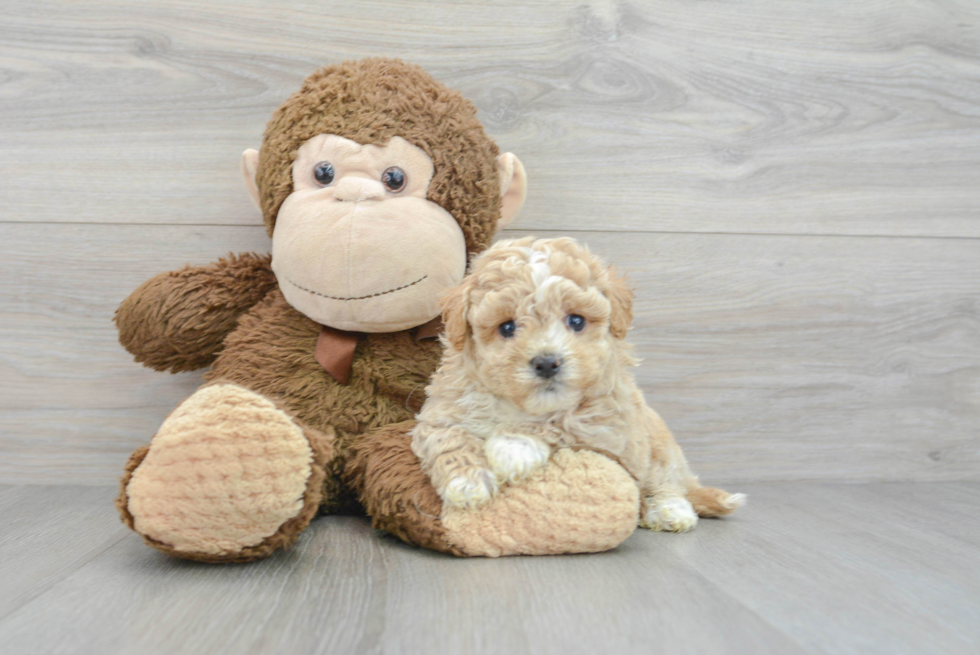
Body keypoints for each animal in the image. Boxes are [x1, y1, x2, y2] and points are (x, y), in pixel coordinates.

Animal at [408, 237, 744, 532]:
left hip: (660, 446)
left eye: (577, 321)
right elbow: (448, 439)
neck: (521, 405)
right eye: (507, 327)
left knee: (666, 482)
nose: (546, 362)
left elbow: (559, 423)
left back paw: (669, 511)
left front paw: (512, 447)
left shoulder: (606, 429)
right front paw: (467, 483)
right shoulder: (440, 413)